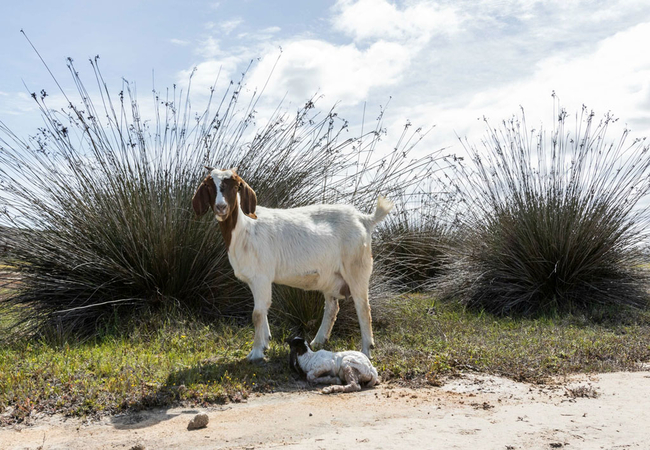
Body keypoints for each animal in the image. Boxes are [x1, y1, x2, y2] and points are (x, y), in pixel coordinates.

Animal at [190, 167, 392, 360]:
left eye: (235, 186)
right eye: (209, 186)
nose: (221, 207)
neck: (244, 228)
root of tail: (364, 219)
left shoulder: (261, 277)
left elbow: (257, 314)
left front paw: (255, 353)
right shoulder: (255, 279)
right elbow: (262, 311)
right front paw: (265, 343)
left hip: (357, 268)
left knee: (363, 308)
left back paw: (366, 351)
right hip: (331, 277)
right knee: (332, 307)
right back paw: (318, 341)